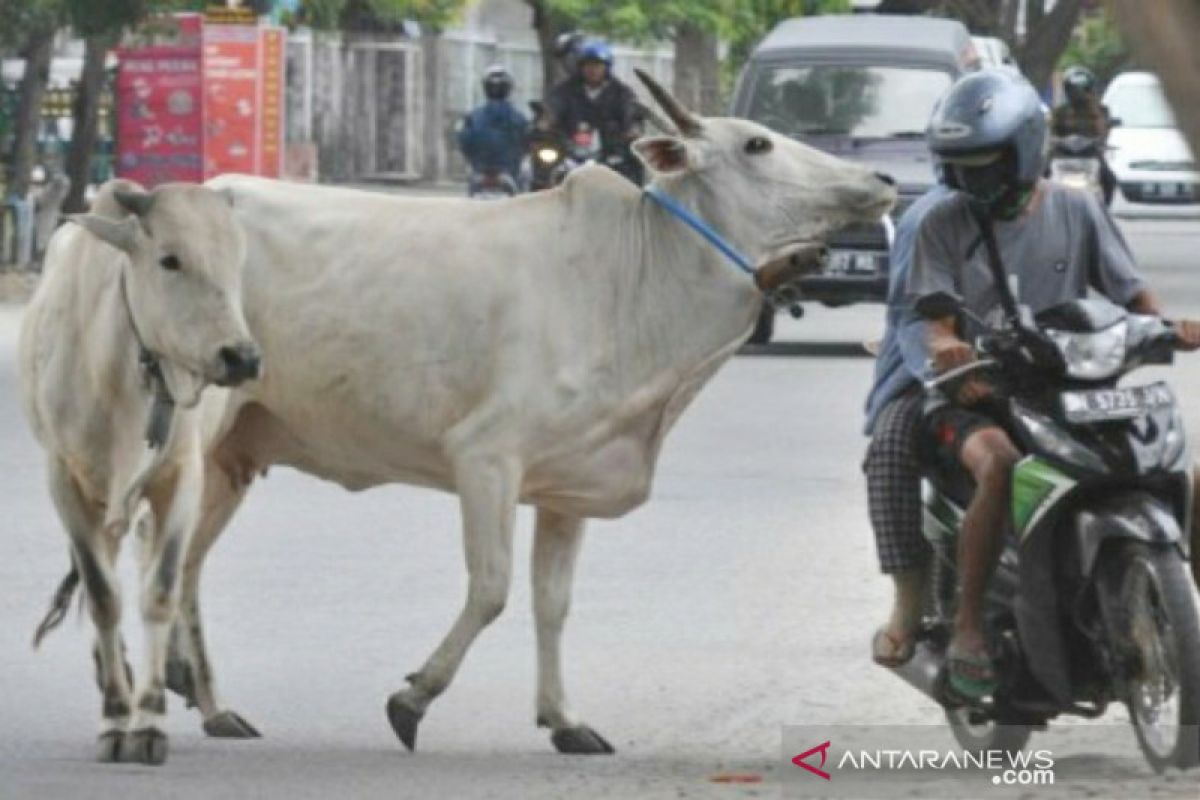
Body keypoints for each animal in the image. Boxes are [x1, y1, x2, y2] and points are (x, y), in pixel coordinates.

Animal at [21, 179, 261, 762]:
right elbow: (104, 597)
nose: (242, 358)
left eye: (235, 258)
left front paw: (148, 720)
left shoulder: (183, 475)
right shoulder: (65, 482)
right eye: (169, 259)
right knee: (103, 578)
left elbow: (161, 590)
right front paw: (116, 717)